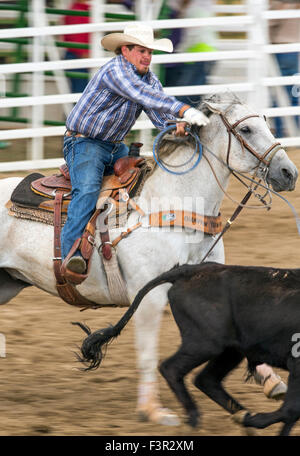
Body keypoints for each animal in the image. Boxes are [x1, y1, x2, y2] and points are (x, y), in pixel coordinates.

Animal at [73, 260, 300, 434]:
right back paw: (197, 418)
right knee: (172, 368)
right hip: (205, 343)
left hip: (229, 350)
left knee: (206, 380)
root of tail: (190, 270)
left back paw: (241, 417)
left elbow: (291, 412)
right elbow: (291, 410)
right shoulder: (296, 363)